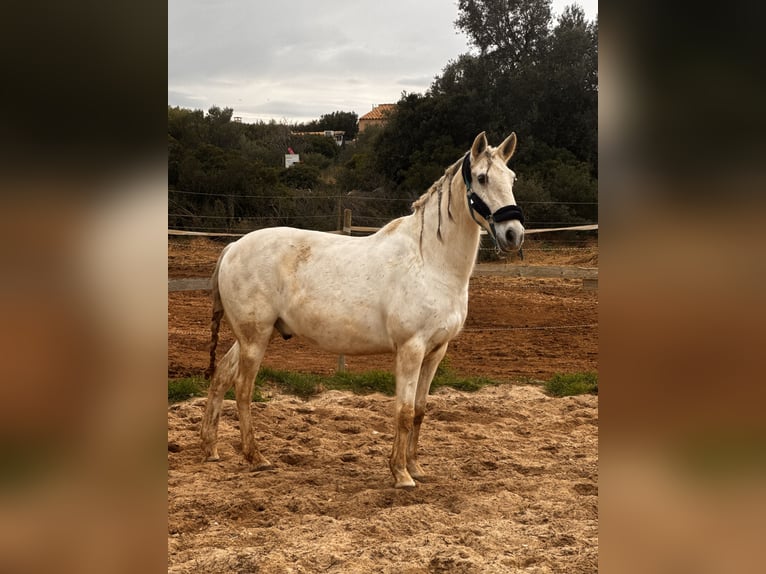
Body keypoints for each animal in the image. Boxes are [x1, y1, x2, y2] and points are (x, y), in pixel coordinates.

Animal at [200, 131, 525, 488]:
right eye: (482, 178)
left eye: (511, 178)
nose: (513, 234)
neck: (430, 260)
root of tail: (233, 247)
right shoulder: (411, 349)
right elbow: (404, 411)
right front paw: (400, 473)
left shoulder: (436, 350)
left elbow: (420, 410)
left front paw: (416, 467)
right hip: (255, 338)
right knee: (243, 390)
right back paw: (256, 458)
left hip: (250, 336)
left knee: (221, 377)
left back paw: (211, 449)